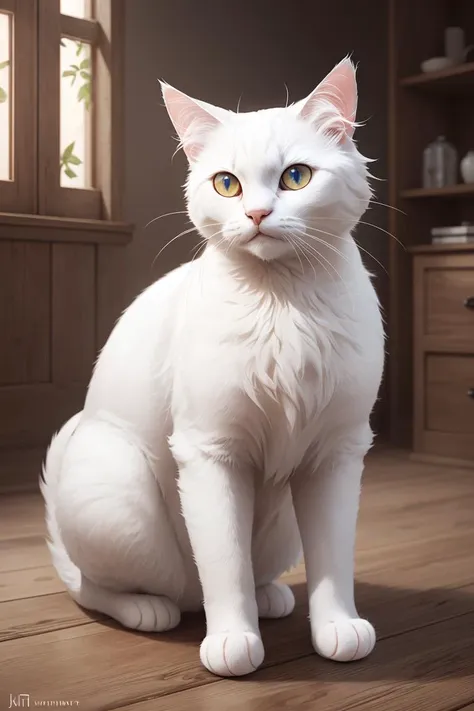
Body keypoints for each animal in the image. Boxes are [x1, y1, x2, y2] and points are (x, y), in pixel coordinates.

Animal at [40, 58, 386, 676]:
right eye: (227, 184)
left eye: (296, 177)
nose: (256, 213)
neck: (282, 306)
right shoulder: (209, 452)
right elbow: (224, 564)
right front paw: (232, 640)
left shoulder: (336, 454)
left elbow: (332, 559)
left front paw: (337, 628)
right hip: (120, 491)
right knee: (97, 588)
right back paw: (149, 609)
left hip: (282, 520)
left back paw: (271, 595)